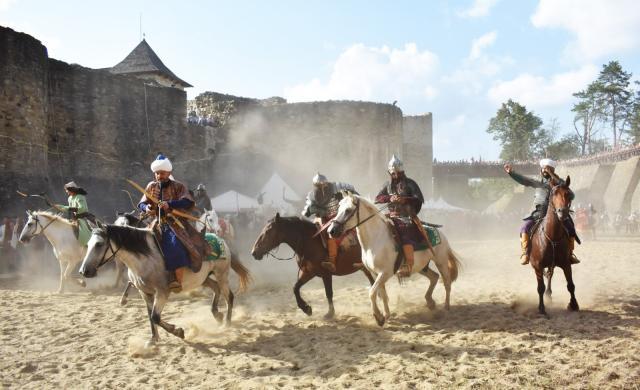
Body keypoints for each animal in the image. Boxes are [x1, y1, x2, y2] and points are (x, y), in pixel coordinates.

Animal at [79, 222, 251, 344]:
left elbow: (155, 317)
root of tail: (221, 240)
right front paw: (153, 339)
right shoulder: (145, 293)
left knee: (229, 296)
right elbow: (150, 316)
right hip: (203, 278)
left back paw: (226, 323)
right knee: (216, 289)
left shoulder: (162, 292)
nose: (84, 271)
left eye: (99, 244)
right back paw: (217, 314)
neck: (145, 259)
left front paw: (178, 331)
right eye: (88, 244)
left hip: (222, 275)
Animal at [324, 194, 460, 326]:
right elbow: (382, 294)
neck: (376, 239)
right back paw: (430, 302)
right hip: (421, 267)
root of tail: (440, 233)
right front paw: (386, 315)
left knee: (447, 282)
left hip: (441, 261)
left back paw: (446, 307)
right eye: (338, 209)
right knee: (434, 277)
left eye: (348, 210)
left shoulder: (385, 273)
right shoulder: (376, 273)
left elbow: (372, 292)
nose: (331, 231)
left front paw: (378, 317)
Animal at [528, 175, 580, 316]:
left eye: (568, 194)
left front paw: (574, 304)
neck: (553, 237)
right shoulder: (538, 266)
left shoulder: (566, 264)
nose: (562, 212)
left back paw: (549, 294)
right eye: (554, 194)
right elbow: (540, 287)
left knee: (550, 275)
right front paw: (541, 308)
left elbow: (571, 285)